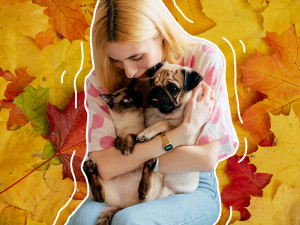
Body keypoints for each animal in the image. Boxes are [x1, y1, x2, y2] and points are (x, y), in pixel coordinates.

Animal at [138, 62, 204, 198]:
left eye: (173, 88)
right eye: (151, 82)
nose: (156, 89)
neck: (163, 113)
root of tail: (172, 191)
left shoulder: (187, 141)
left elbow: (163, 123)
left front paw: (146, 132)